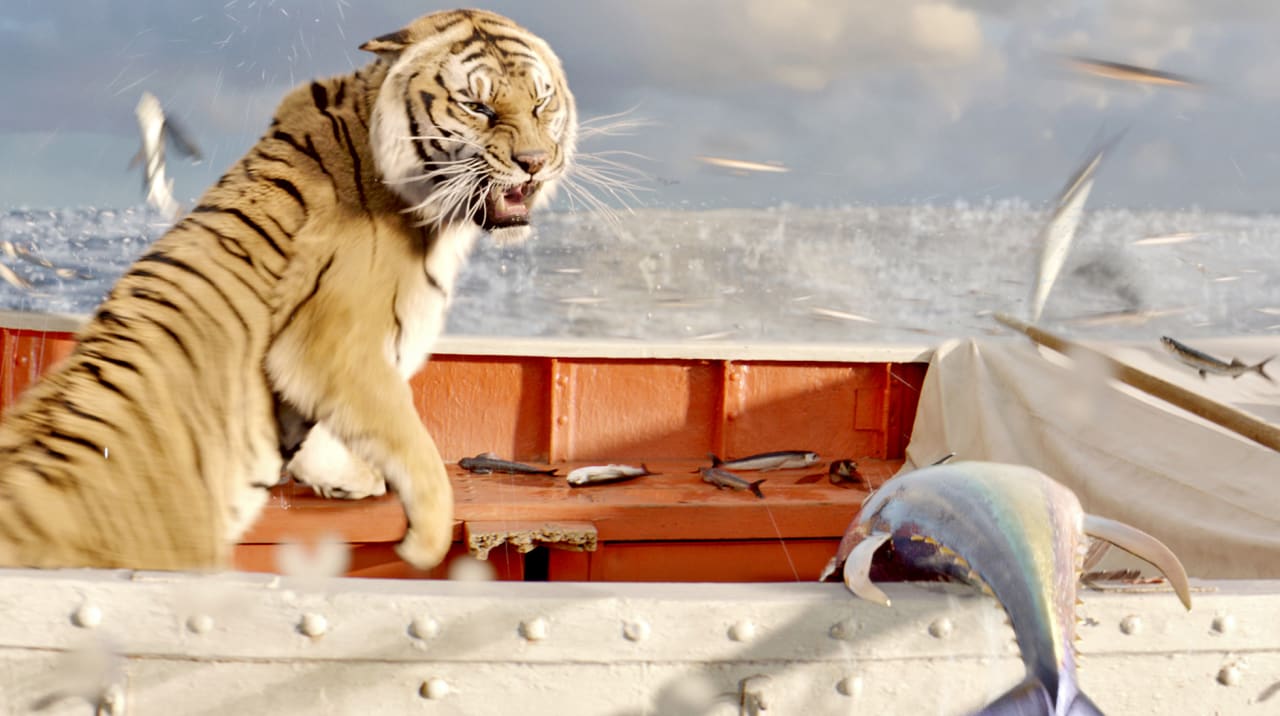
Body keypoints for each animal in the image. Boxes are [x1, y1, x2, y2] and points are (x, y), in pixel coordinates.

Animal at [0, 9, 577, 570]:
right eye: (478, 106)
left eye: (540, 102)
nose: (533, 161)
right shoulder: (329, 348)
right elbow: (411, 438)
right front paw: (426, 542)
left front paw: (340, 477)